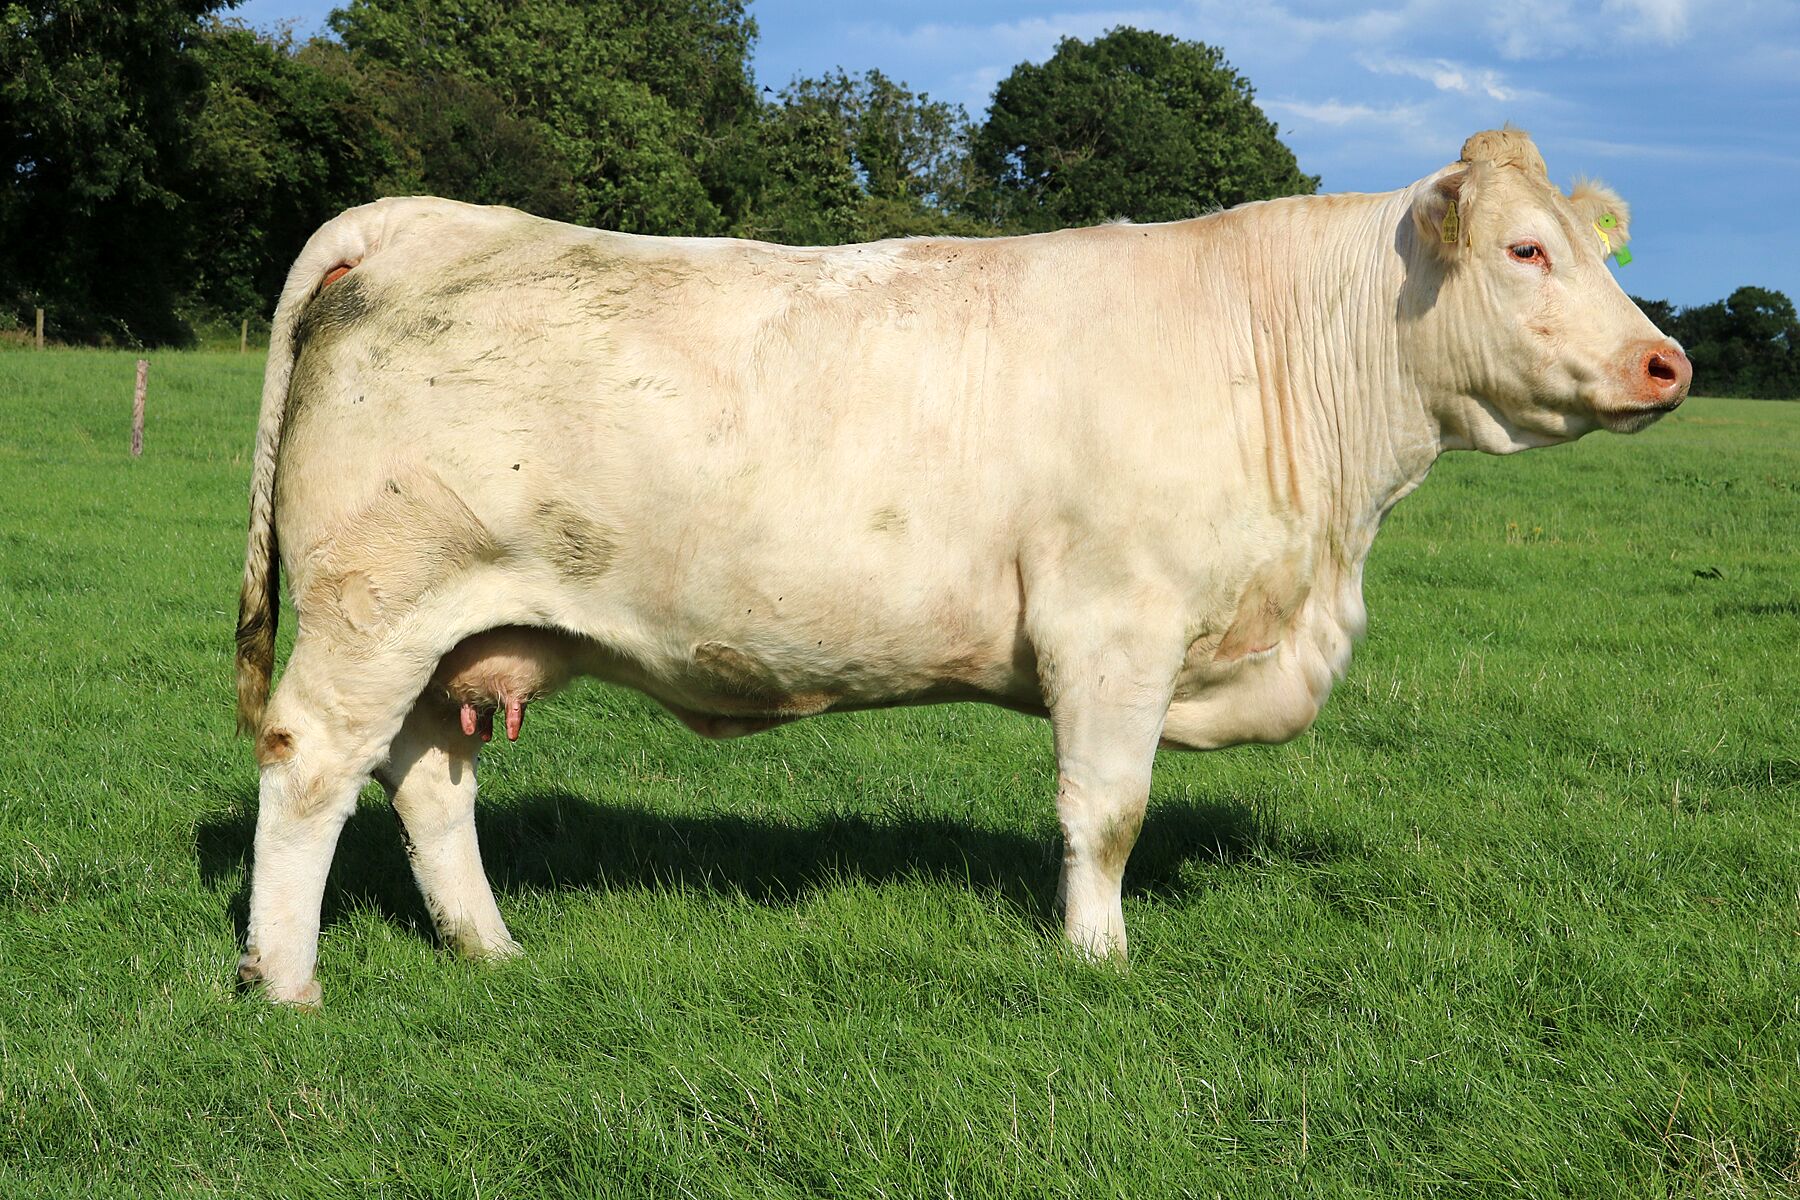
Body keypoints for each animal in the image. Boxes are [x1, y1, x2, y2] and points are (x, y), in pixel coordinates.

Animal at [234, 128, 1690, 1005]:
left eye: (1595, 245)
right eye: (1526, 249)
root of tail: (424, 218)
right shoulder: (1115, 627)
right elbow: (1107, 815)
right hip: (373, 610)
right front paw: (1100, 961)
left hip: (454, 633)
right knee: (312, 765)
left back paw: (490, 948)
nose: (1666, 362)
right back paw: (287, 982)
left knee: (428, 781)